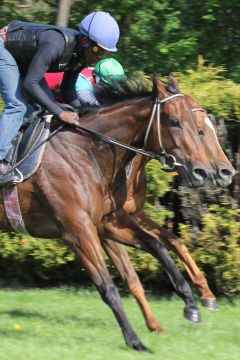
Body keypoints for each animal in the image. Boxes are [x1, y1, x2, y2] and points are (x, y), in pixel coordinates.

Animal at [0, 74, 234, 350]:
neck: (87, 150)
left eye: (202, 127)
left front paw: (189, 305)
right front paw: (135, 340)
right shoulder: (78, 231)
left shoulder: (108, 222)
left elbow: (156, 249)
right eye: (175, 122)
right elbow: (109, 287)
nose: (208, 171)